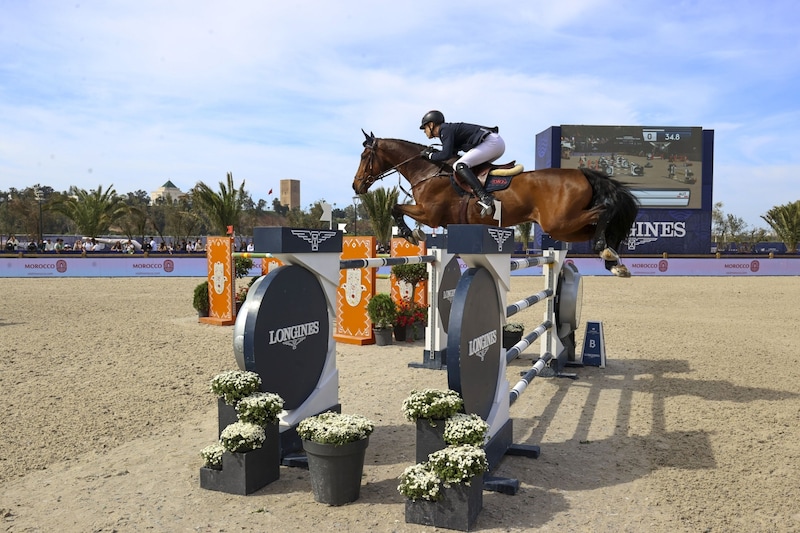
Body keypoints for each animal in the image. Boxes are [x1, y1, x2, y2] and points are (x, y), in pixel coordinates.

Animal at [354, 131, 640, 276]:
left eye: (364, 155)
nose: (356, 186)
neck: (428, 171)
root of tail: (582, 173)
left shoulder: (429, 214)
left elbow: (396, 208)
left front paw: (410, 234)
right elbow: (396, 208)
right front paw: (411, 233)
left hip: (559, 223)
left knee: (604, 210)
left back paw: (607, 253)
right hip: (567, 227)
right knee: (598, 225)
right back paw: (612, 259)